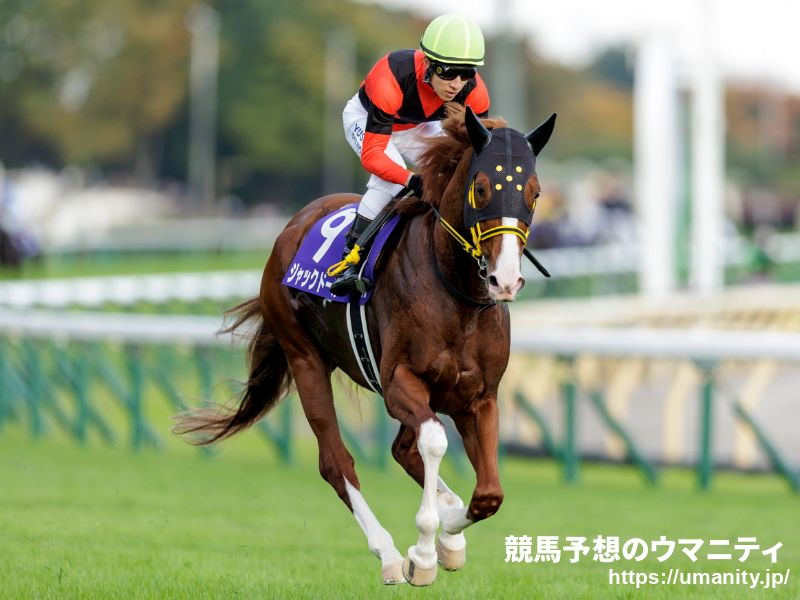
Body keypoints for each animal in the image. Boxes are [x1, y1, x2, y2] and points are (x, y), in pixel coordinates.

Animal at [174, 107, 555, 586]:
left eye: (534, 192)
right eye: (483, 188)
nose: (504, 280)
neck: (457, 295)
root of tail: (294, 224)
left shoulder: (479, 396)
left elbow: (488, 494)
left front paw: (446, 539)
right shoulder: (398, 382)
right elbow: (434, 442)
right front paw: (423, 553)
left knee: (402, 450)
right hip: (305, 357)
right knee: (336, 462)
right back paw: (390, 555)